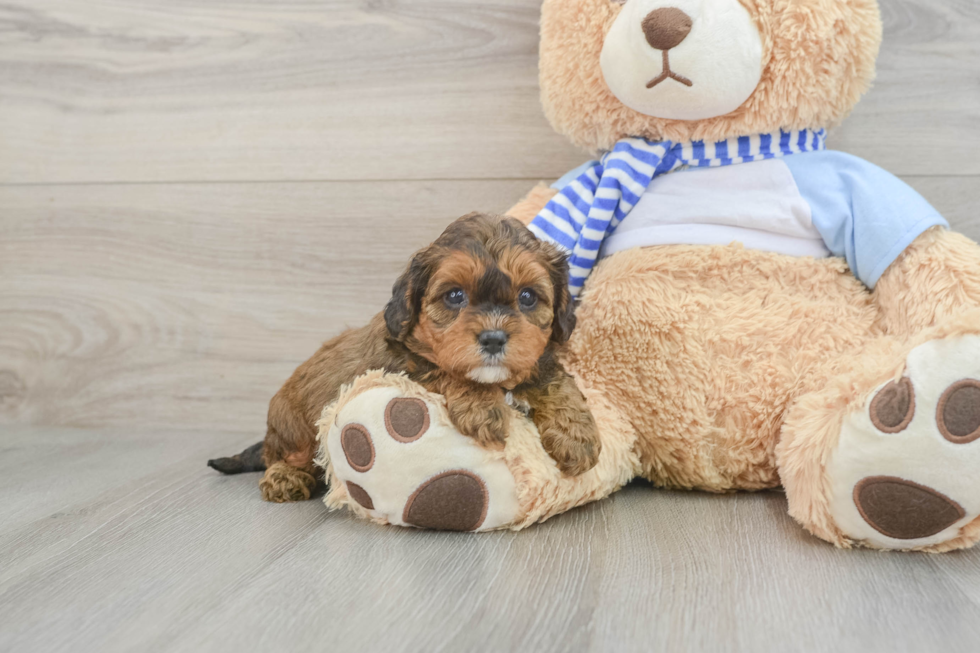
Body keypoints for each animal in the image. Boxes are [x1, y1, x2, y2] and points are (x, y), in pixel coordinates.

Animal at [211, 211, 600, 502]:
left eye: (528, 297)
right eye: (455, 295)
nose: (493, 339)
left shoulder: (534, 360)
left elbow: (554, 379)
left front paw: (577, 434)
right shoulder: (403, 364)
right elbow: (445, 371)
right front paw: (482, 406)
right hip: (292, 426)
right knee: (281, 456)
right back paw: (285, 477)